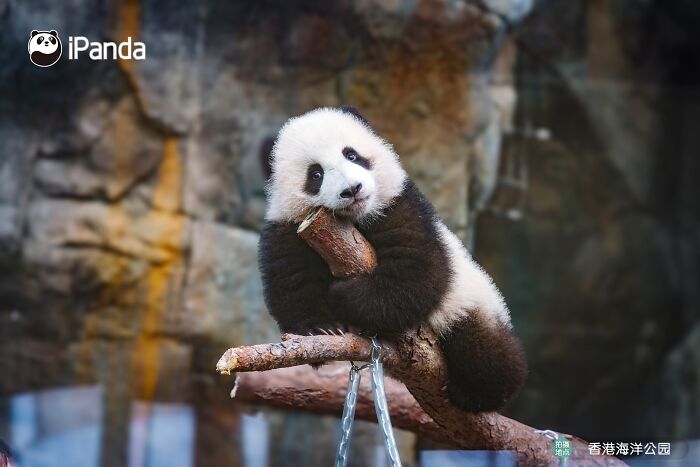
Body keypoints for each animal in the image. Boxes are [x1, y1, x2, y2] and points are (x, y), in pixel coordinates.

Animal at [259, 106, 527, 412]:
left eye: (351, 155)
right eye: (316, 174)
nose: (352, 189)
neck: (356, 219)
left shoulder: (400, 207)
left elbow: (416, 272)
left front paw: (343, 295)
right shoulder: (286, 228)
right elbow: (291, 284)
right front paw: (321, 329)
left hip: (469, 303)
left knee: (482, 349)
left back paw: (477, 391)